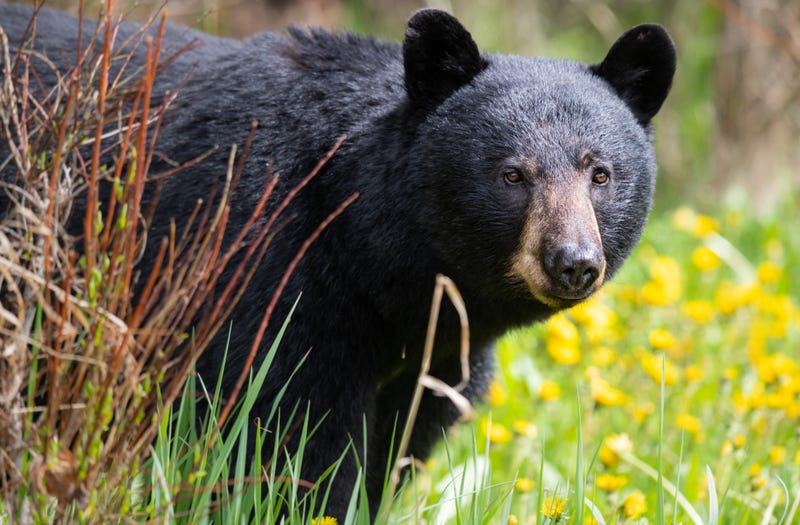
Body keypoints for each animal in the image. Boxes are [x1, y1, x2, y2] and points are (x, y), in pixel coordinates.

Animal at [0, 4, 676, 518]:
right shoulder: (268, 276)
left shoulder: (434, 359)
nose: (573, 262)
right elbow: (288, 440)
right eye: (512, 174)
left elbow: (394, 449)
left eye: (600, 173)